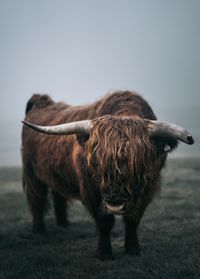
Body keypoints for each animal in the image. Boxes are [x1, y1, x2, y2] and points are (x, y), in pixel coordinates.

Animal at [21, 91, 193, 260]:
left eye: (139, 165)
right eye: (96, 163)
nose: (115, 205)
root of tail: (40, 101)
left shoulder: (147, 188)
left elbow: (133, 220)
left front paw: (133, 249)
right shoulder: (91, 192)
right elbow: (104, 222)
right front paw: (104, 253)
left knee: (58, 195)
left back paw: (63, 224)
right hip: (32, 173)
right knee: (37, 199)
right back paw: (39, 230)